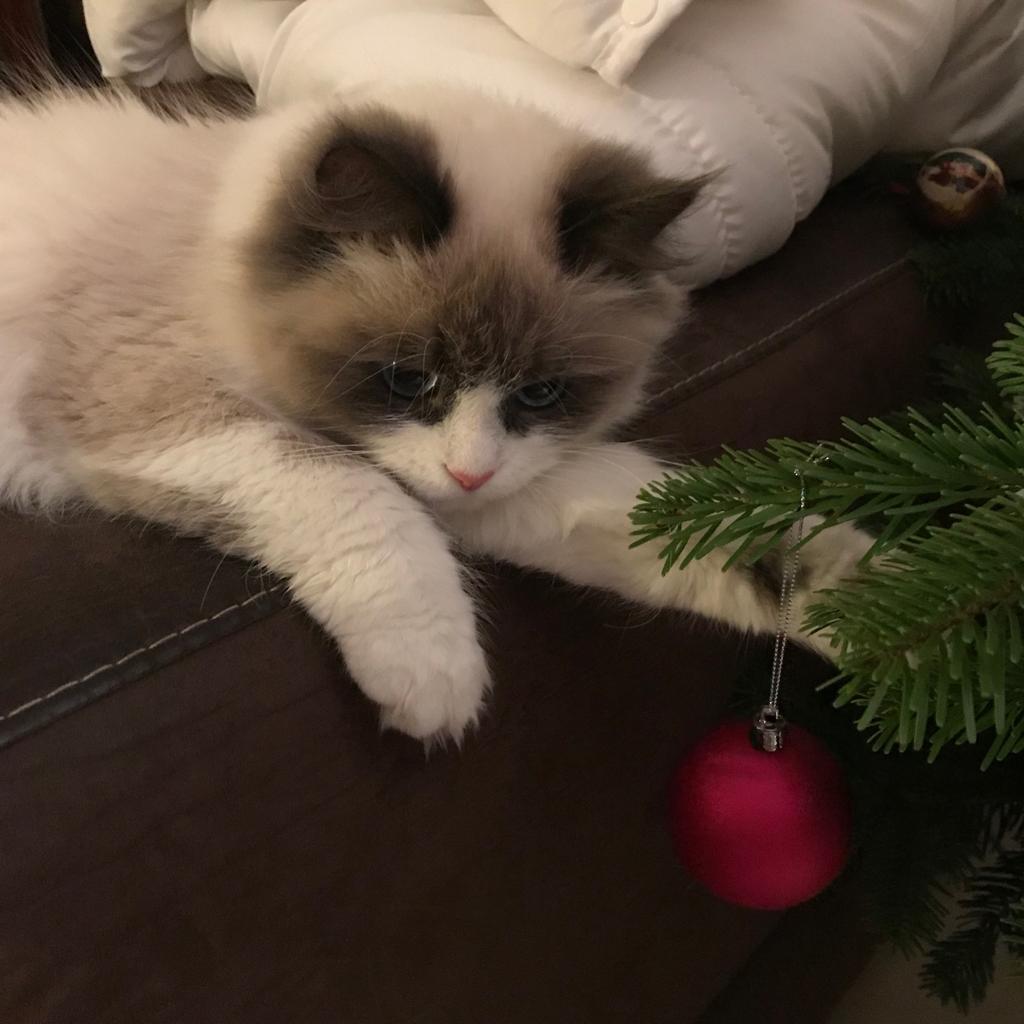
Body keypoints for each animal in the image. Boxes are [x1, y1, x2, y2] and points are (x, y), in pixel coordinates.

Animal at [0, 82, 871, 741]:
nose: (468, 473)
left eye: (540, 394)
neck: (216, 258)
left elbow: (727, 536)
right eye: (408, 381)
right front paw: (433, 674)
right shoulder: (168, 410)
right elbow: (350, 491)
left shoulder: (500, 487)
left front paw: (887, 619)